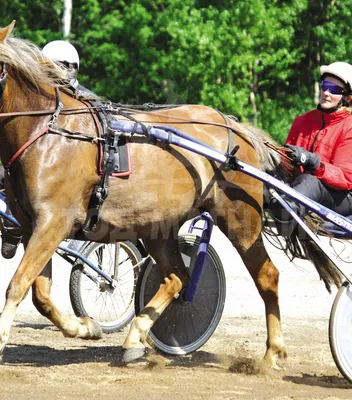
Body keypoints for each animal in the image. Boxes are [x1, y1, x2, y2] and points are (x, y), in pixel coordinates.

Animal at [0, 21, 336, 368]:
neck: (48, 132)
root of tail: (237, 127)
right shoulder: (33, 226)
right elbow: (39, 293)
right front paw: (85, 327)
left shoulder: (54, 222)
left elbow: (18, 285)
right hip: (157, 225)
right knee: (177, 277)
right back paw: (135, 339)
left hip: (241, 221)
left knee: (266, 276)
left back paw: (272, 352)